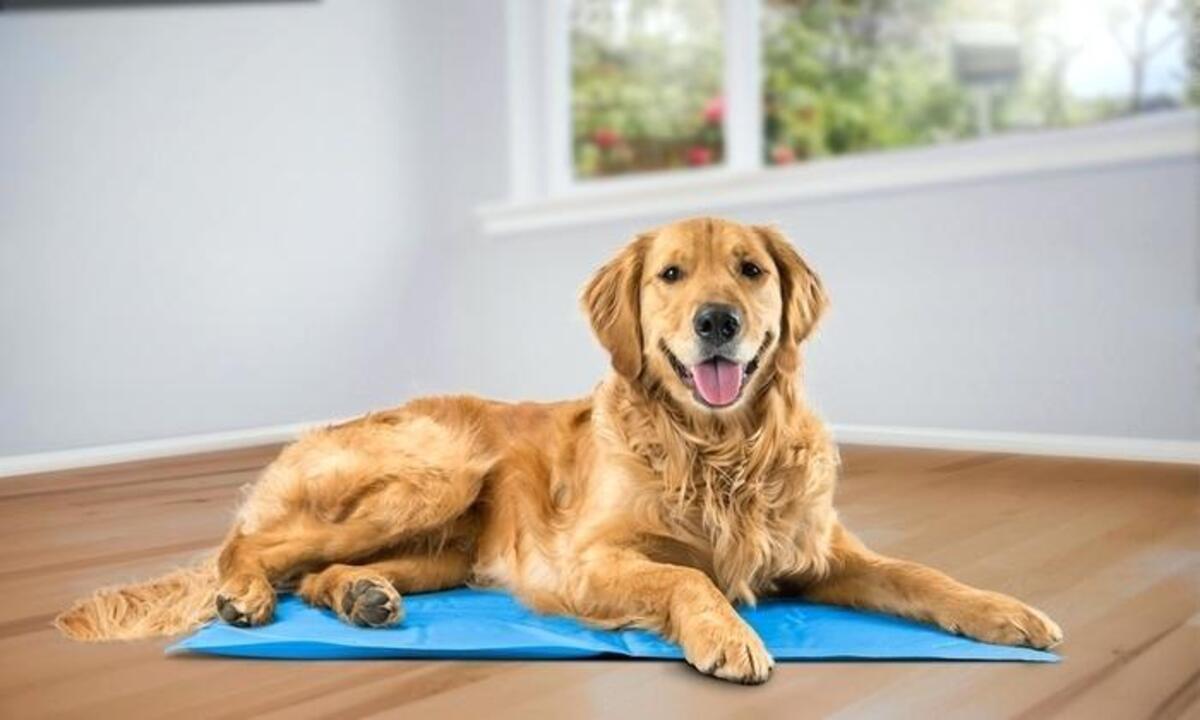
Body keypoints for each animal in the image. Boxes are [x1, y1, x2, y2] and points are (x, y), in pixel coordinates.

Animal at [60, 216, 1065, 681]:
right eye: (671, 274)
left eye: (750, 270)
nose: (718, 321)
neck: (715, 450)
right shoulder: (588, 561)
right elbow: (689, 580)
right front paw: (727, 636)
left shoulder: (823, 554)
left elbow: (923, 576)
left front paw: (1006, 613)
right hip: (435, 470)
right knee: (253, 544)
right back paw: (241, 594)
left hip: (447, 547)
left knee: (320, 572)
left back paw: (363, 599)